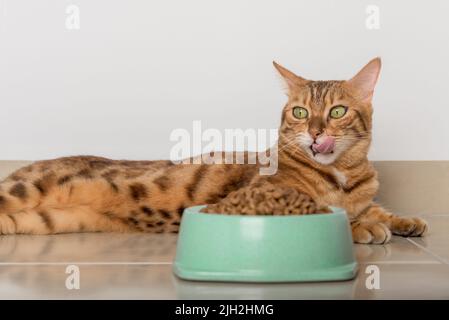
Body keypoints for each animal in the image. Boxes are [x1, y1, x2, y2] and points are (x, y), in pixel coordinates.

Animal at [0, 57, 428, 244]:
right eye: (300, 112)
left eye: (337, 112)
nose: (314, 132)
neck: (343, 176)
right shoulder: (258, 197)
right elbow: (324, 210)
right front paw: (363, 227)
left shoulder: (363, 196)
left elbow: (377, 208)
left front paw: (404, 220)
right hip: (21, 191)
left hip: (38, 221)